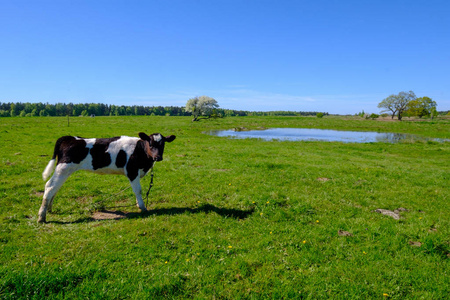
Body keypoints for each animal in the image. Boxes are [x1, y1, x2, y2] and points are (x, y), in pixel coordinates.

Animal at [38, 132, 176, 221]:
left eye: (163, 144)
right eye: (150, 143)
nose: (158, 157)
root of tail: (70, 138)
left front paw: (138, 204)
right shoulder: (132, 171)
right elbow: (138, 190)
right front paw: (143, 208)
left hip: (63, 170)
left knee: (55, 188)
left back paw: (49, 209)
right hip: (63, 168)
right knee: (50, 186)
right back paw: (42, 216)